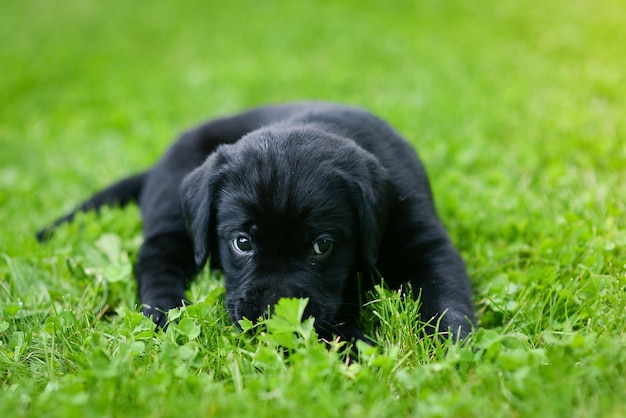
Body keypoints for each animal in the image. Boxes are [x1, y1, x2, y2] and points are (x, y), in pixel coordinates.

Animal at [37, 103, 472, 342]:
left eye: (323, 245)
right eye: (242, 243)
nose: (273, 313)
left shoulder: (423, 238)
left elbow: (446, 295)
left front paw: (451, 347)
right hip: (170, 211)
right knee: (157, 258)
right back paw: (164, 310)